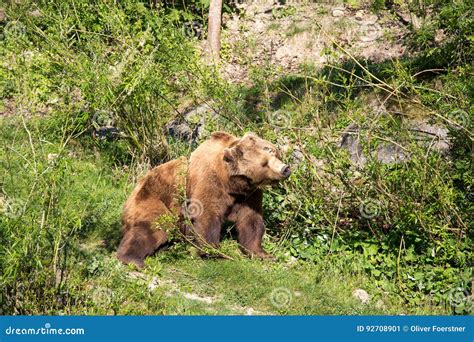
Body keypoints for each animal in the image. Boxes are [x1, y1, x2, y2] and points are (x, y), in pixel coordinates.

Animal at [116, 131, 290, 268]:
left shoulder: (249, 194)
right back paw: (133, 259)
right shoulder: (208, 181)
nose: (285, 168)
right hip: (153, 199)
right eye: (266, 157)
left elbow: (251, 220)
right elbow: (207, 215)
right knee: (153, 229)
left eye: (273, 151)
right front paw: (213, 252)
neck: (232, 182)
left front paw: (263, 254)